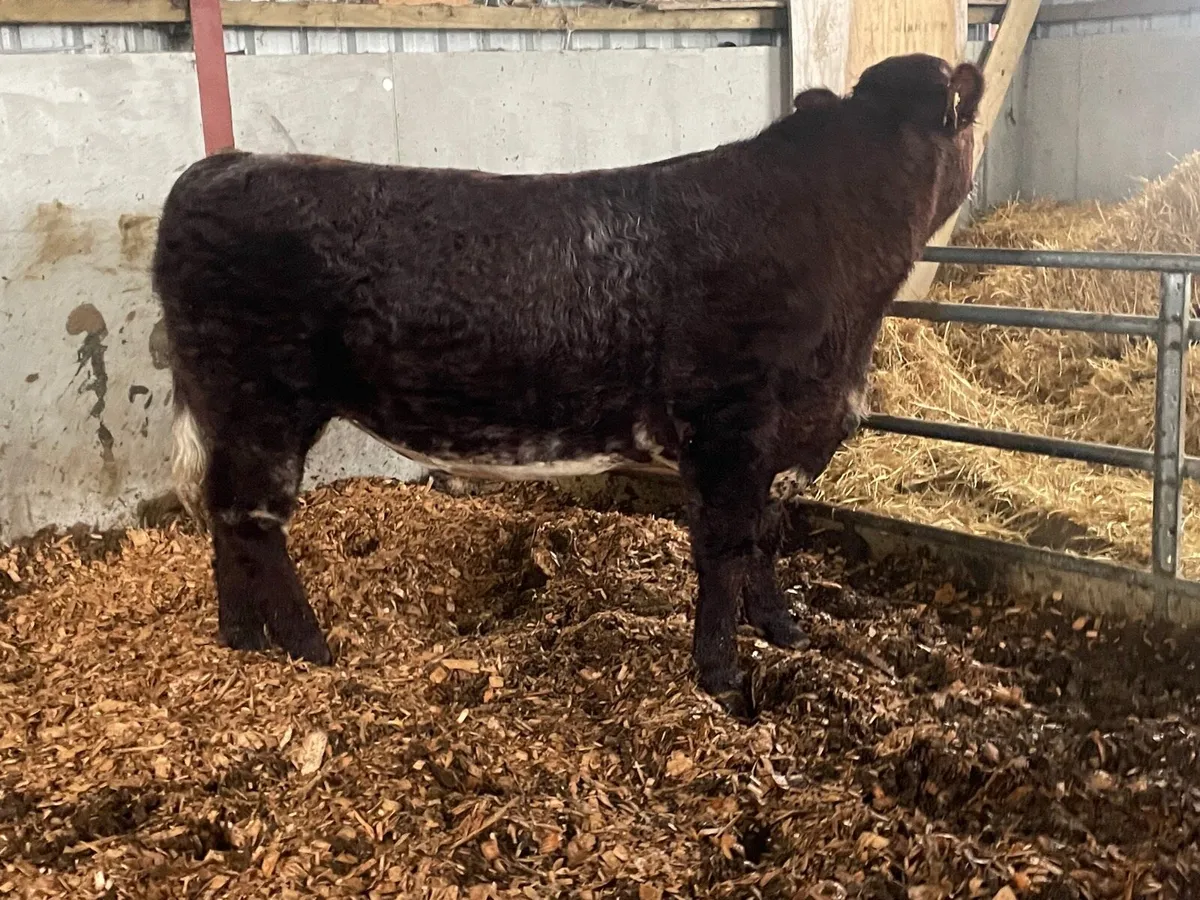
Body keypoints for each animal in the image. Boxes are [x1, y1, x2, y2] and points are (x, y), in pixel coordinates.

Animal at [153, 53, 983, 718]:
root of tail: (223, 164)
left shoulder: (785, 440)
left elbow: (766, 535)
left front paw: (780, 629)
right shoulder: (727, 423)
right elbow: (725, 544)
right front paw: (721, 674)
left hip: (235, 411)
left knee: (224, 516)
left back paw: (240, 638)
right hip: (260, 402)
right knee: (253, 519)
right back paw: (306, 647)